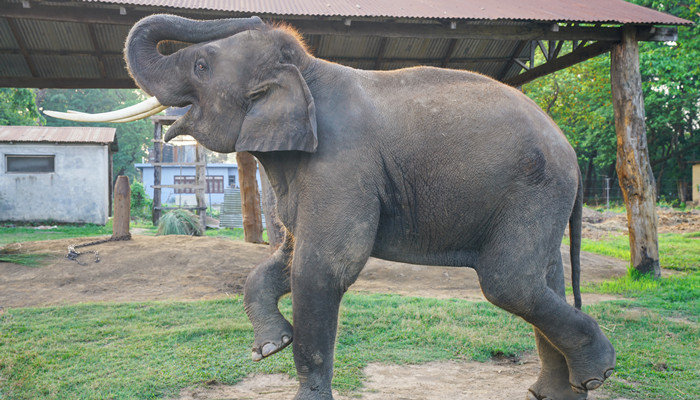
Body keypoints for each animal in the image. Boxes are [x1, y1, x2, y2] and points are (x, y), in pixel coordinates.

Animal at [50, 14, 616, 398]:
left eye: (201, 65)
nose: (259, 17)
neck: (306, 68)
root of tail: (569, 147)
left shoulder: (342, 165)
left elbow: (324, 266)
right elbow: (285, 260)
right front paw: (269, 347)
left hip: (532, 190)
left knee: (509, 281)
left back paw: (599, 373)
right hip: (538, 197)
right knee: (543, 278)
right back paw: (558, 392)